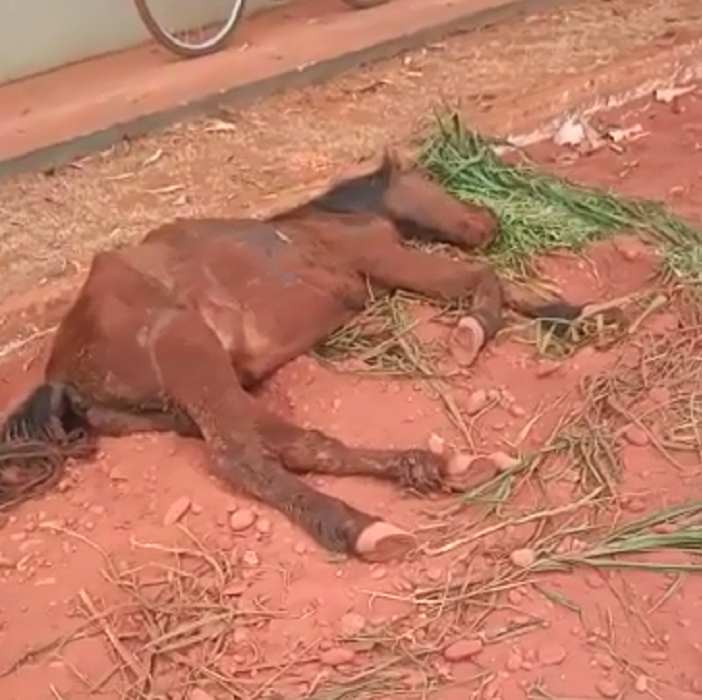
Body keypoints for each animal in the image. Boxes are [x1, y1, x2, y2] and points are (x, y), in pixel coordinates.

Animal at [0, 152, 584, 564]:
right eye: (429, 180)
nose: (487, 221)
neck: (324, 222)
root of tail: (63, 374)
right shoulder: (384, 259)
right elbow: (482, 281)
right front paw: (471, 334)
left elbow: (504, 288)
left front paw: (569, 313)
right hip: (192, 355)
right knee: (241, 458)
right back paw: (365, 529)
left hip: (185, 405)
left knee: (300, 445)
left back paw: (433, 466)